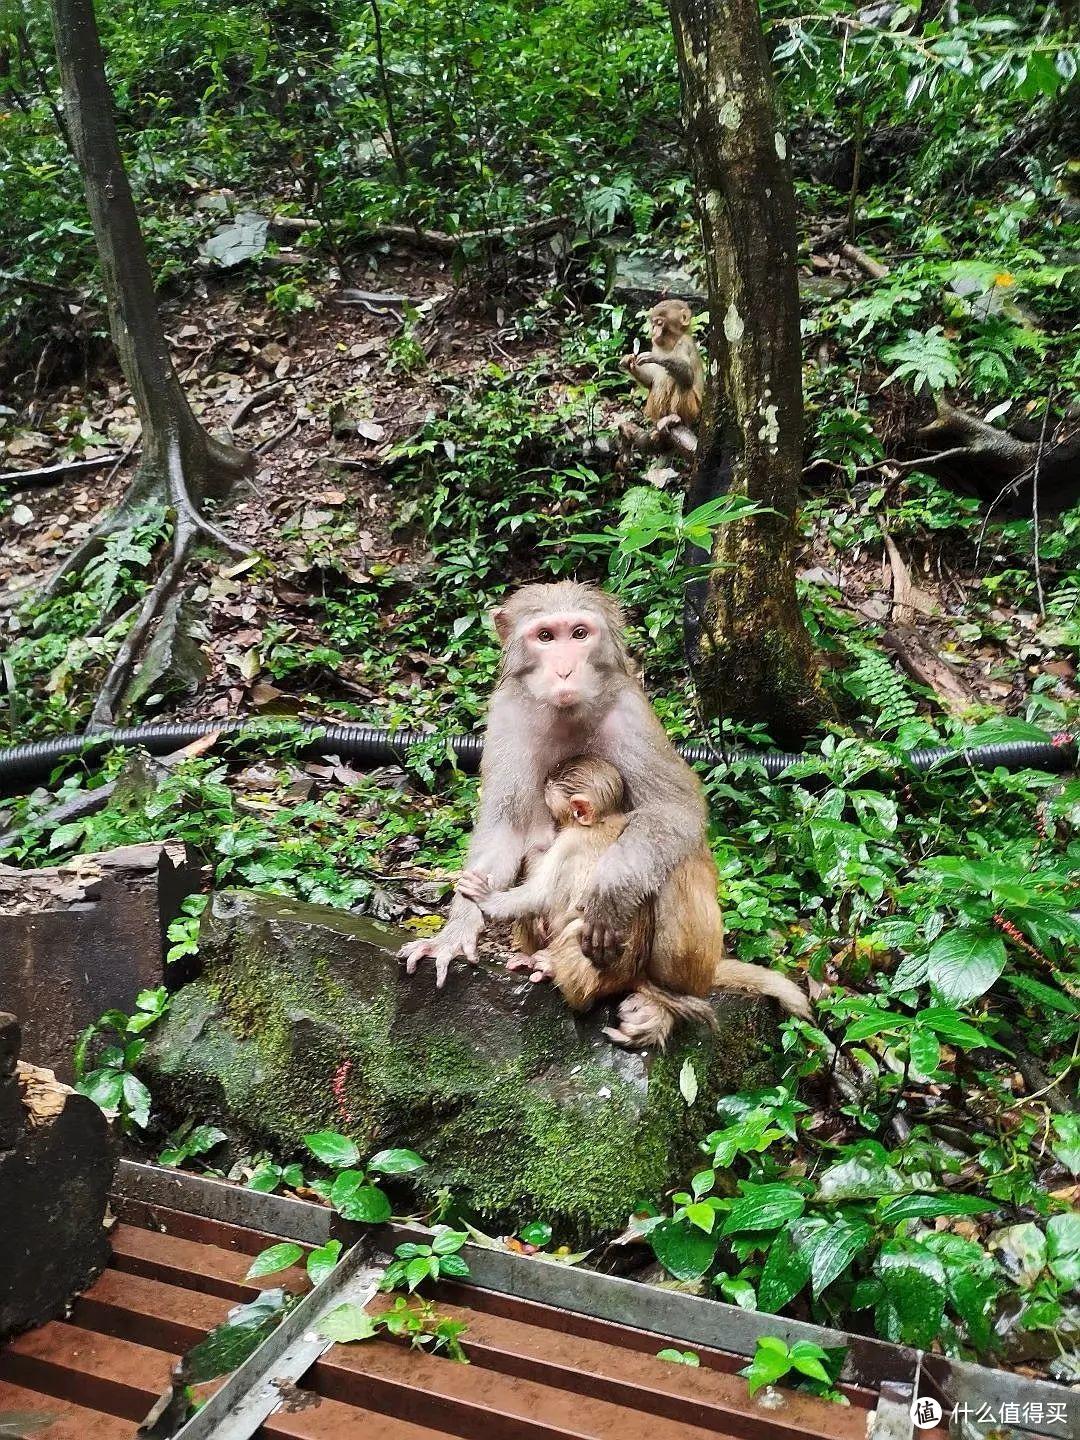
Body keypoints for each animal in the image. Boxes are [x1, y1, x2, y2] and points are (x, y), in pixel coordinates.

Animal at [457, 754, 812, 1048]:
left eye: (555, 812)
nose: (551, 823)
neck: (601, 820)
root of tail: (631, 976)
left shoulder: (569, 842)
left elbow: (539, 894)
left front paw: (488, 898)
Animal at [622, 299, 705, 429]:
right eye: (654, 324)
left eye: (659, 323)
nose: (654, 332)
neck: (671, 342)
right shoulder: (656, 346)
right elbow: (650, 380)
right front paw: (629, 362)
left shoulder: (684, 343)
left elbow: (688, 376)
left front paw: (658, 358)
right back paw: (660, 420)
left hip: (694, 412)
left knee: (683, 384)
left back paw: (676, 418)